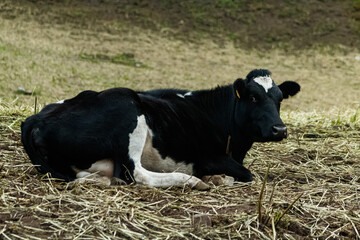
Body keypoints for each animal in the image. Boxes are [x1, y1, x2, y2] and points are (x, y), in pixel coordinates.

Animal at [20, 69, 300, 189]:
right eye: (253, 97)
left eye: (279, 99)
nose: (279, 129)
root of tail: (34, 119)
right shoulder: (209, 157)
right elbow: (247, 174)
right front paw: (217, 177)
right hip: (129, 111)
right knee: (136, 174)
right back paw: (192, 181)